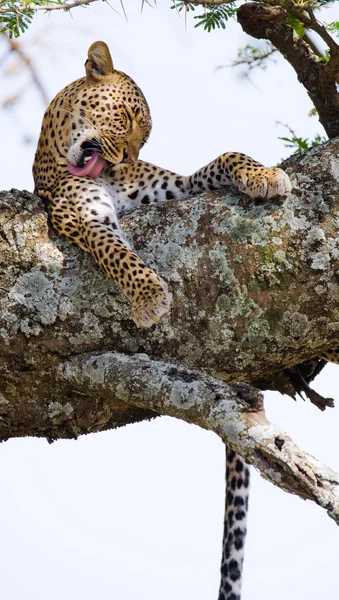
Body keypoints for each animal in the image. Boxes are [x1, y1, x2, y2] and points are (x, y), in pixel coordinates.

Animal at [31, 42, 338, 600]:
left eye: (144, 134)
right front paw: (150, 297)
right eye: (129, 118)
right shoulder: (79, 217)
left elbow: (225, 156)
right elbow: (115, 251)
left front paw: (265, 175)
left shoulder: (171, 188)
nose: (123, 160)